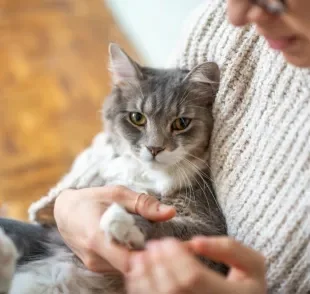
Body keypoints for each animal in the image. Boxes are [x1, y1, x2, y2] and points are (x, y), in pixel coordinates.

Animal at [0, 43, 228, 294]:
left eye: (181, 123)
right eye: (137, 118)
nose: (154, 148)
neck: (150, 176)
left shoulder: (211, 230)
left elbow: (172, 231)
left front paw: (123, 222)